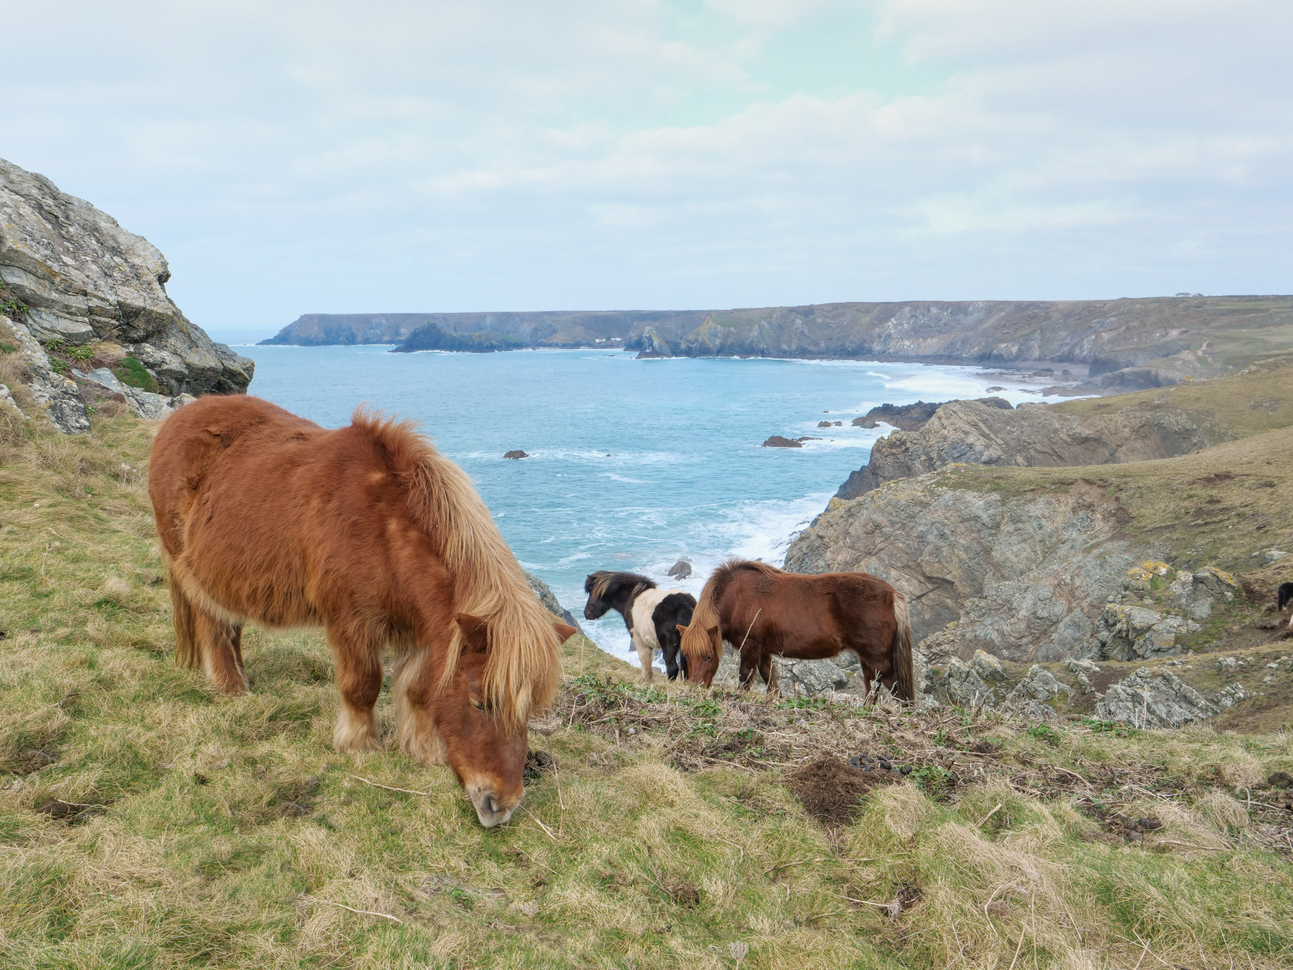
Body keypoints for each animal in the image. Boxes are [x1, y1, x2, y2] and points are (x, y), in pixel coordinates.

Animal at [148, 395, 574, 827]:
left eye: (530, 709)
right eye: (479, 703)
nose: (501, 807)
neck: (384, 530)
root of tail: (178, 419)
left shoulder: (422, 633)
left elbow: (420, 692)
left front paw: (423, 750)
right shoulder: (352, 623)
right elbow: (363, 684)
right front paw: (359, 745)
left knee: (233, 628)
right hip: (191, 570)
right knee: (214, 627)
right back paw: (230, 687)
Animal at [678, 559, 914, 701]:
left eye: (708, 657)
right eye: (686, 657)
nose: (694, 689)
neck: (737, 598)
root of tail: (892, 594)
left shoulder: (751, 646)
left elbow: (745, 677)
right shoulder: (763, 651)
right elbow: (769, 678)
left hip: (877, 659)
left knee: (896, 689)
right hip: (868, 660)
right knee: (873, 688)